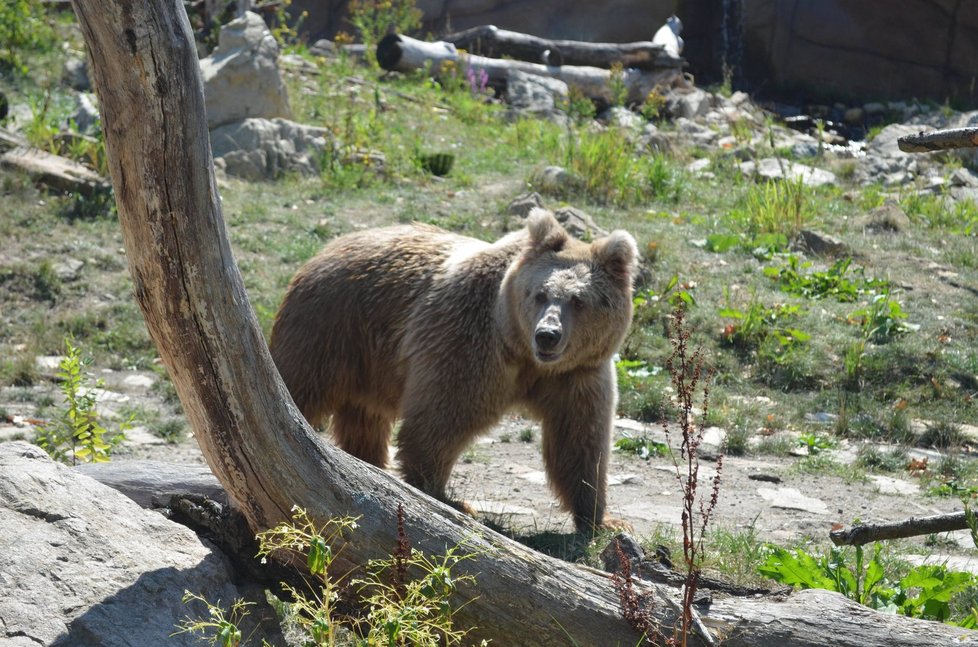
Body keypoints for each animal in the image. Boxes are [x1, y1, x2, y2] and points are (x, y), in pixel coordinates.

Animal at [268, 208, 632, 532]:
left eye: (579, 300)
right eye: (540, 294)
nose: (547, 334)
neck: (521, 350)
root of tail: (327, 248)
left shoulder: (578, 374)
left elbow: (580, 441)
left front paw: (602, 519)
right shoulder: (468, 341)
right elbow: (441, 419)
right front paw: (445, 497)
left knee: (364, 417)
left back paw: (367, 462)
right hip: (330, 327)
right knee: (297, 384)